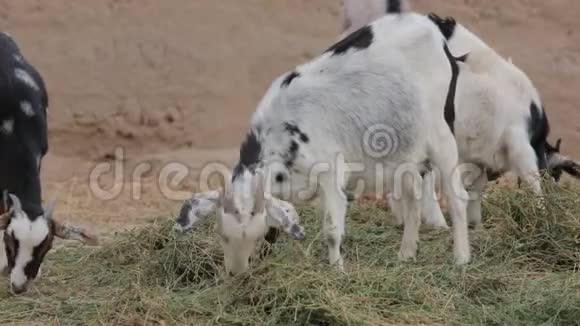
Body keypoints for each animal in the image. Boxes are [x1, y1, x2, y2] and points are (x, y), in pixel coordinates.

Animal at [176, 12, 472, 274]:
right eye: (222, 235)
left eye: (253, 235)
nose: (236, 273)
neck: (283, 131)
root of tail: (435, 29)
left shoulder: (330, 175)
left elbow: (331, 230)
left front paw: (337, 270)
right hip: (405, 150)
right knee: (413, 200)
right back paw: (406, 255)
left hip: (442, 136)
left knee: (457, 197)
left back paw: (461, 258)